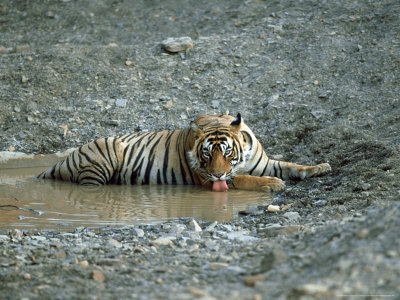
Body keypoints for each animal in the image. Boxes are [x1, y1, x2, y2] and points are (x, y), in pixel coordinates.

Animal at [37, 112, 332, 192]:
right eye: (206, 155)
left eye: (228, 152)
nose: (217, 175)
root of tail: (64, 159)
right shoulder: (210, 178)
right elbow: (246, 178)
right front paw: (273, 184)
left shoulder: (263, 162)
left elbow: (291, 165)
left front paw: (320, 167)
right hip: (104, 156)